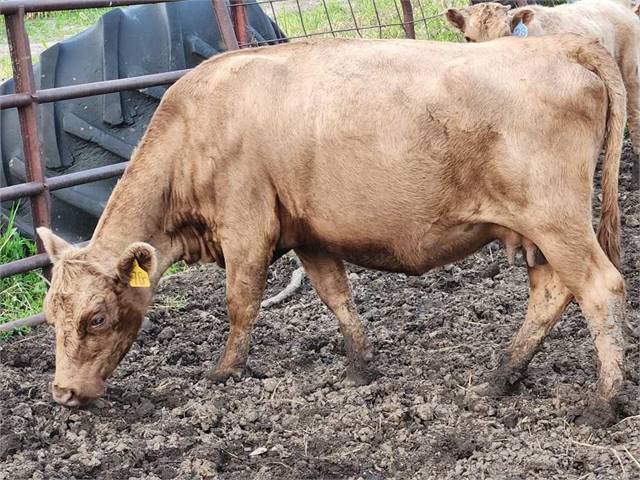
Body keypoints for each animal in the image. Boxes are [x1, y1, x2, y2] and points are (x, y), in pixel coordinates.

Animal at [37, 36, 628, 428]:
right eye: (49, 315)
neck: (196, 123)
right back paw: (501, 377)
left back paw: (604, 402)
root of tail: (561, 43)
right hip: (538, 232)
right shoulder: (310, 235)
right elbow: (334, 295)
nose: (63, 393)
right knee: (551, 292)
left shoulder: (246, 226)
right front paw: (359, 365)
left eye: (97, 317)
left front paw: (224, 372)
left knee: (600, 287)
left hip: (555, 220)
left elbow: (241, 302)